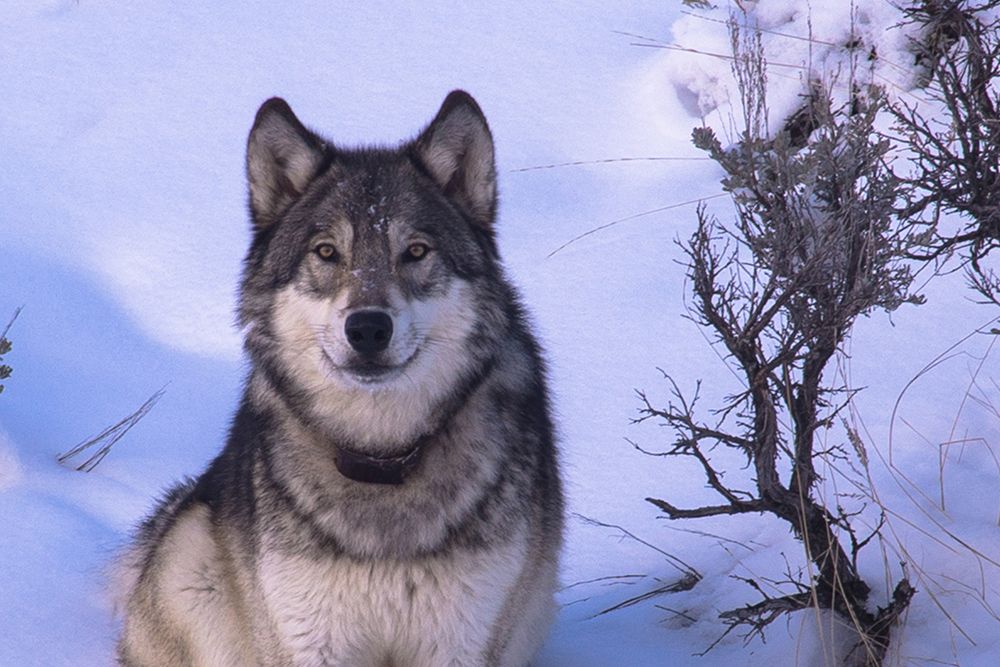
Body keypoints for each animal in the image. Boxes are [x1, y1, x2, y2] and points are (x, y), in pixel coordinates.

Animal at [115, 91, 563, 667]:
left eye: (416, 251)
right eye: (327, 252)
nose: (368, 328)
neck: (383, 458)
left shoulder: (461, 640)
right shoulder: (311, 639)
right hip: (191, 557)